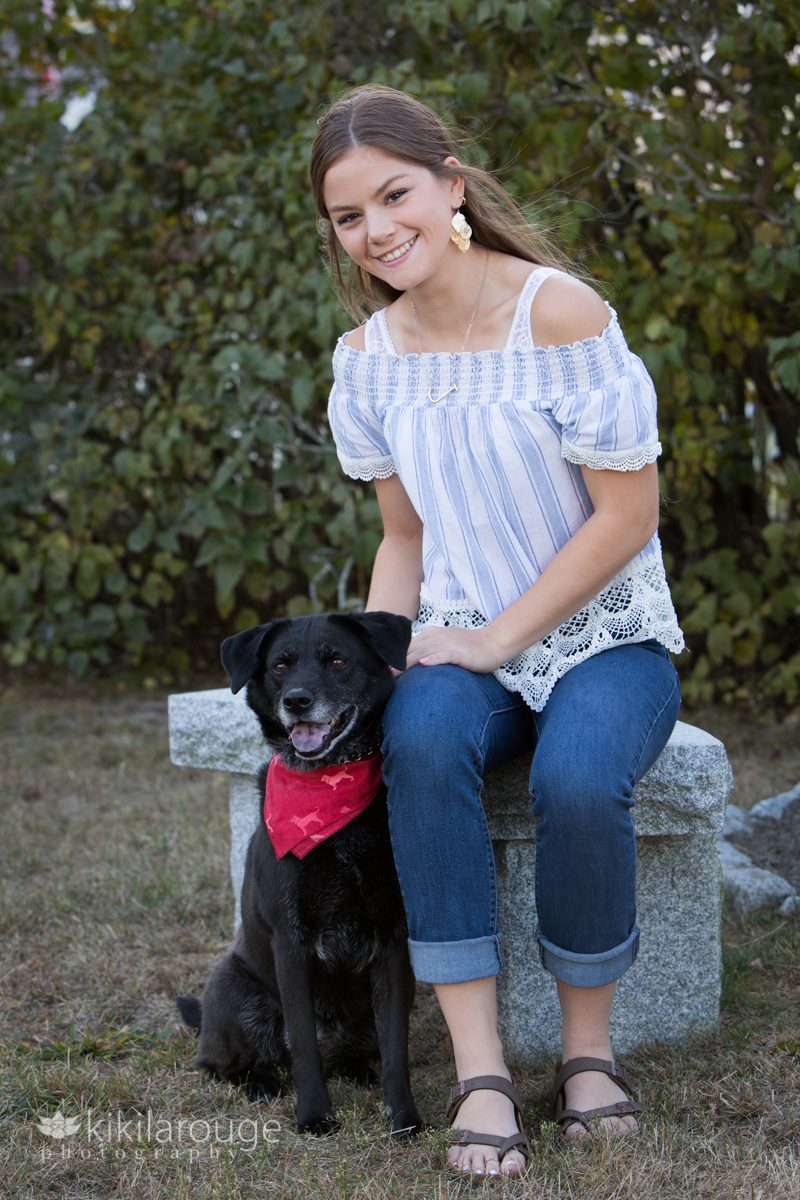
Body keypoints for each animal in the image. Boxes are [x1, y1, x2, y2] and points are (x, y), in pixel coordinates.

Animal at [176, 609, 424, 1132]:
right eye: (281, 666)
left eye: (337, 659)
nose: (297, 701)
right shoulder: (291, 940)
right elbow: (304, 1045)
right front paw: (314, 1117)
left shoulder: (393, 940)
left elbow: (396, 1047)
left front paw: (404, 1119)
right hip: (236, 990)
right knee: (226, 1062)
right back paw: (259, 1082)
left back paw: (356, 1069)